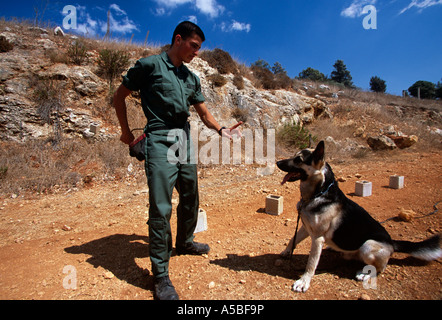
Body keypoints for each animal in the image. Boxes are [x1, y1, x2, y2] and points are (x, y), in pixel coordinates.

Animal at [278, 141, 440, 292]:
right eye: (294, 155)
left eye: (298, 159)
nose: (277, 163)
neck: (318, 193)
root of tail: (392, 243)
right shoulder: (305, 227)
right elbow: (293, 239)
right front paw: (286, 252)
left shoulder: (317, 238)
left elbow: (311, 263)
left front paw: (304, 281)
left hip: (367, 246)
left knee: (380, 268)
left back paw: (364, 274)